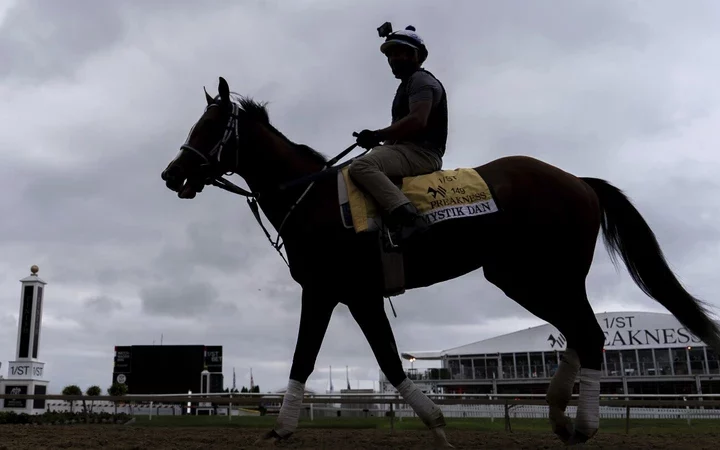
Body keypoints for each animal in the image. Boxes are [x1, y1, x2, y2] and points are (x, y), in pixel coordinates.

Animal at [160, 77, 716, 446]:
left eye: (210, 126)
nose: (171, 173)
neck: (313, 198)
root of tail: (579, 181)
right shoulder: (356, 294)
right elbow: (386, 360)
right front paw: (436, 424)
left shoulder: (325, 289)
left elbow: (308, 356)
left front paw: (281, 429)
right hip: (519, 276)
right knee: (579, 332)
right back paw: (561, 415)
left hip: (541, 274)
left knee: (589, 332)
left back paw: (582, 423)